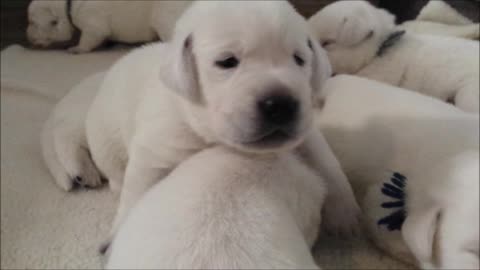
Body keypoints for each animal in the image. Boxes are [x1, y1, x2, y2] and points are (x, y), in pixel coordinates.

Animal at [26, 0, 191, 52]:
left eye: (32, 22)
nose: (27, 37)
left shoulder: (92, 23)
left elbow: (89, 38)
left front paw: (77, 48)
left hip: (165, 18)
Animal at [42, 1, 360, 252]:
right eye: (227, 61)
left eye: (299, 59)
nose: (281, 104)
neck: (208, 133)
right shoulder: (155, 150)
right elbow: (137, 191)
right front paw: (118, 234)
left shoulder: (306, 132)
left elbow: (328, 163)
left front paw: (346, 215)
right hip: (105, 139)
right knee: (114, 173)